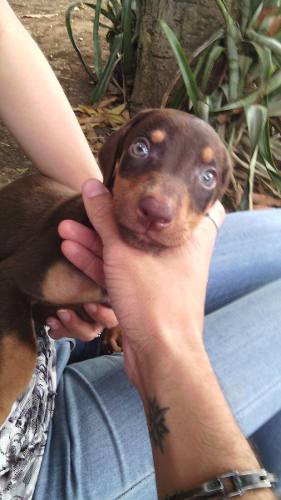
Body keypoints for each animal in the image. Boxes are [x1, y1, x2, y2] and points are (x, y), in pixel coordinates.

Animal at [0, 109, 231, 426]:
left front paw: (115, 330)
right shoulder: (12, 277)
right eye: (140, 148)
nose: (155, 213)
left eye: (209, 177)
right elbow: (22, 353)